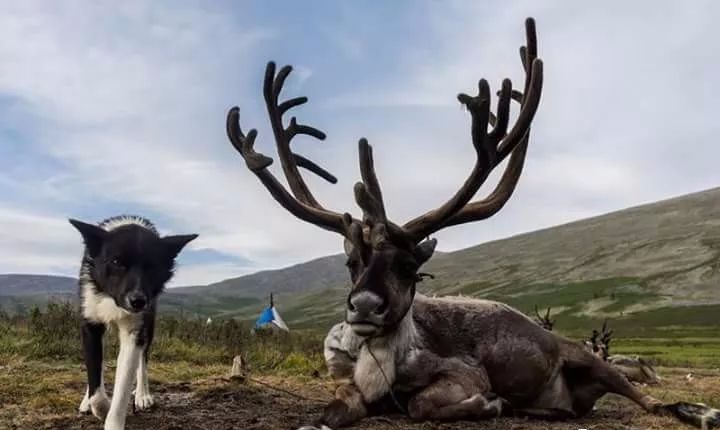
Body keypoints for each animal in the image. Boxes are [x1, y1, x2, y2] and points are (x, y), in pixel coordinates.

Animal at [69, 215, 197, 430]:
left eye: (153, 265)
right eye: (116, 261)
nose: (137, 301)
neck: (112, 300)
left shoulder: (135, 332)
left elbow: (123, 385)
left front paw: (112, 418)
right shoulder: (90, 325)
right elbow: (95, 377)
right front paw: (98, 405)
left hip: (149, 326)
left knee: (142, 361)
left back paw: (143, 394)